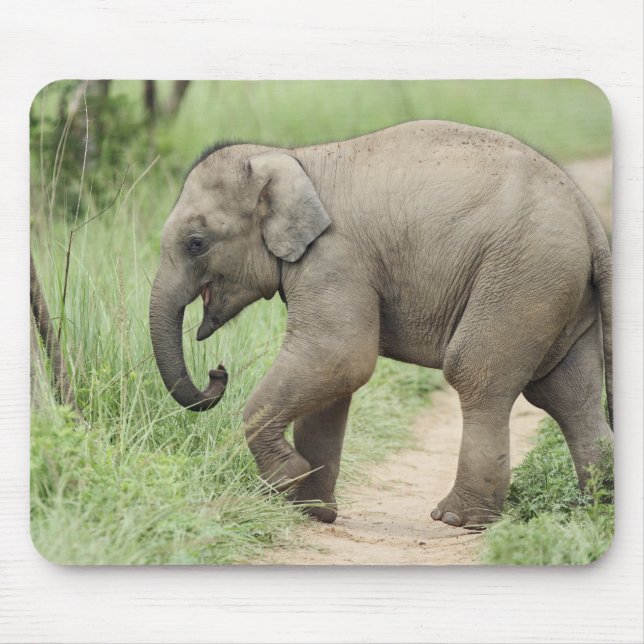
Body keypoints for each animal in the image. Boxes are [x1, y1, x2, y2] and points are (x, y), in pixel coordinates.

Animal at [149, 120, 613, 527]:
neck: (292, 158)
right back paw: (594, 508)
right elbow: (333, 383)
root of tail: (589, 216)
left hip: (521, 277)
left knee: (478, 375)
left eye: (196, 243)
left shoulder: (336, 257)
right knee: (570, 396)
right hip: (558, 290)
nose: (218, 372)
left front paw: (288, 478)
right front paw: (310, 511)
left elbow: (339, 356)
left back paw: (458, 519)